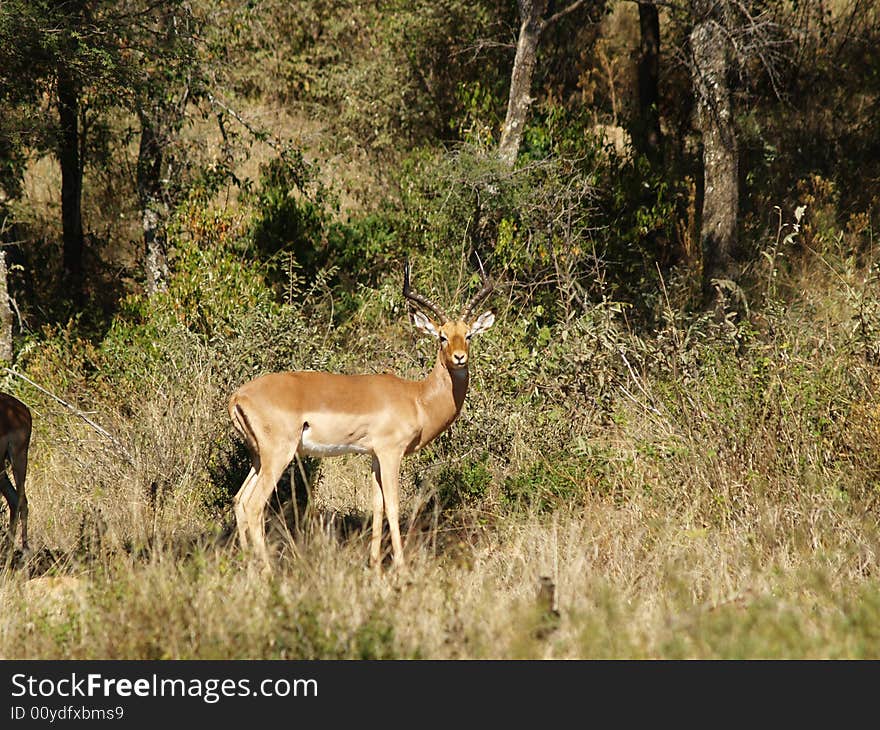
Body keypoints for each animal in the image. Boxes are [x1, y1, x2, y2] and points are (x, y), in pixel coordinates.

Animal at [229, 262, 496, 568]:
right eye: (442, 336)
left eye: (468, 334)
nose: (460, 357)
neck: (417, 397)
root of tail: (238, 396)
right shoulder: (391, 453)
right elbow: (393, 506)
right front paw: (400, 566)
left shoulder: (374, 456)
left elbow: (377, 506)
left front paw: (375, 564)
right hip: (278, 455)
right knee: (253, 505)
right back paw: (268, 571)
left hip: (258, 458)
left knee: (239, 501)